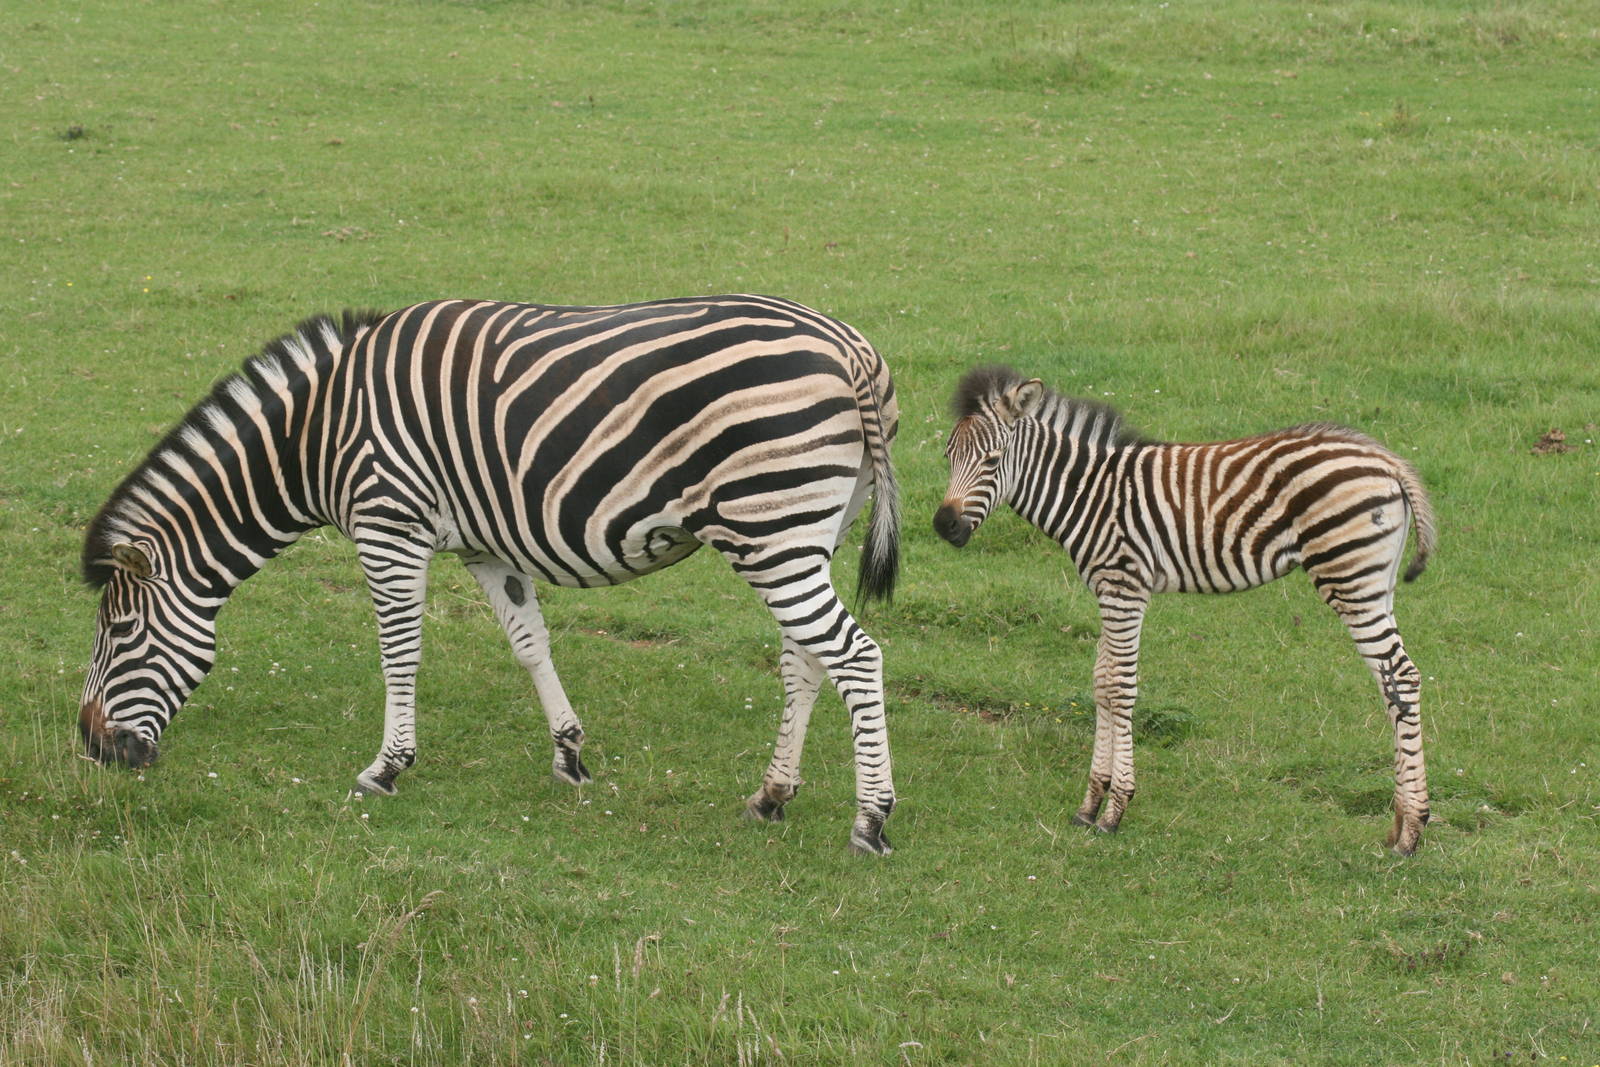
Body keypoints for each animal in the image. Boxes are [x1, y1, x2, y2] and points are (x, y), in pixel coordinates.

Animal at [79, 296, 901, 855]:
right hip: (807, 531)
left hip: (771, 527)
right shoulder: (485, 545)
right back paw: (772, 795)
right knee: (807, 660)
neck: (315, 435)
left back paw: (870, 818)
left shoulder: (388, 525)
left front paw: (387, 767)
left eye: (120, 631)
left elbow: (400, 653)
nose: (90, 747)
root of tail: (850, 348)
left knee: (855, 656)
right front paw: (569, 753)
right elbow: (529, 642)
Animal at [933, 367, 1437, 855]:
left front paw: (1114, 810)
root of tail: (1386, 460)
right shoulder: (1107, 589)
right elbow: (1100, 683)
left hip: (1349, 576)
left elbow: (1120, 688)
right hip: (1374, 582)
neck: (1088, 495)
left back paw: (1412, 832)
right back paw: (1398, 824)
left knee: (1402, 674)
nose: (944, 526)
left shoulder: (1125, 587)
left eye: (992, 460)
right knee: (1391, 682)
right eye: (947, 456)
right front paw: (1089, 805)